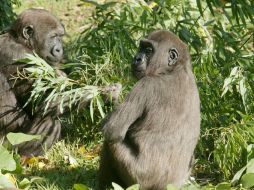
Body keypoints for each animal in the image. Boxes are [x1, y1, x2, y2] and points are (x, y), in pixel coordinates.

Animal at [0, 8, 65, 156]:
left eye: (60, 36)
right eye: (53, 36)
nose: (59, 49)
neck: (20, 41)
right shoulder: (22, 58)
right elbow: (47, 102)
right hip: (6, 147)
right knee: (49, 122)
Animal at [98, 30, 200, 189]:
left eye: (148, 50)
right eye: (141, 48)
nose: (136, 58)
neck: (174, 69)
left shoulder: (145, 85)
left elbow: (112, 129)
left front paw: (110, 97)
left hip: (140, 181)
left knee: (111, 142)